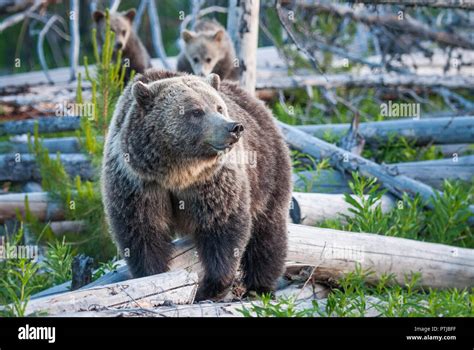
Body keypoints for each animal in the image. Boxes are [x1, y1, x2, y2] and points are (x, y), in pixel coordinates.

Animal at [102, 69, 290, 300]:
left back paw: (260, 286)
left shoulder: (212, 181)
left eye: (219, 107)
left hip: (268, 168)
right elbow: (142, 231)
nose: (234, 127)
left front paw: (211, 286)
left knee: (268, 230)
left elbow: (223, 227)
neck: (177, 173)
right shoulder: (138, 183)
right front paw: (153, 275)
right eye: (196, 111)